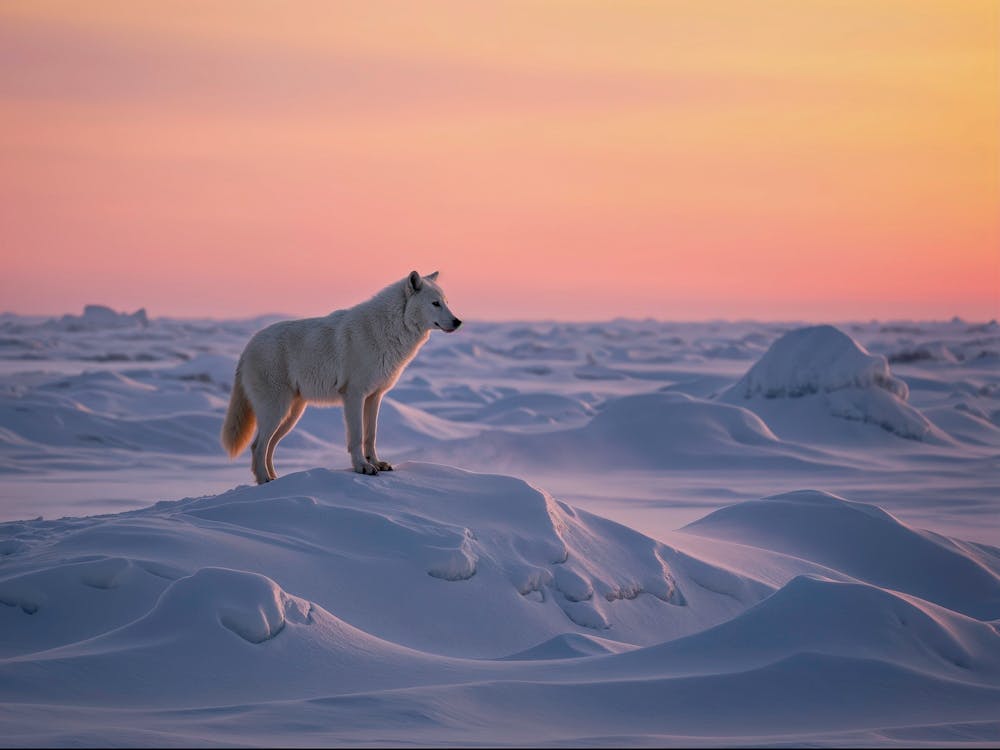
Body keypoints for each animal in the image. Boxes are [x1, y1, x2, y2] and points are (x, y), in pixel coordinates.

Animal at [221, 271, 461, 483]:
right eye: (435, 303)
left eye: (447, 302)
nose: (458, 321)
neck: (389, 328)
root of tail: (248, 346)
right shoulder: (354, 395)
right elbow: (357, 437)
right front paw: (362, 467)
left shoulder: (375, 397)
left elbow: (370, 435)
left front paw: (376, 463)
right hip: (276, 411)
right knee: (257, 446)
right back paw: (264, 480)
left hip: (291, 415)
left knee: (269, 447)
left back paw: (273, 479)